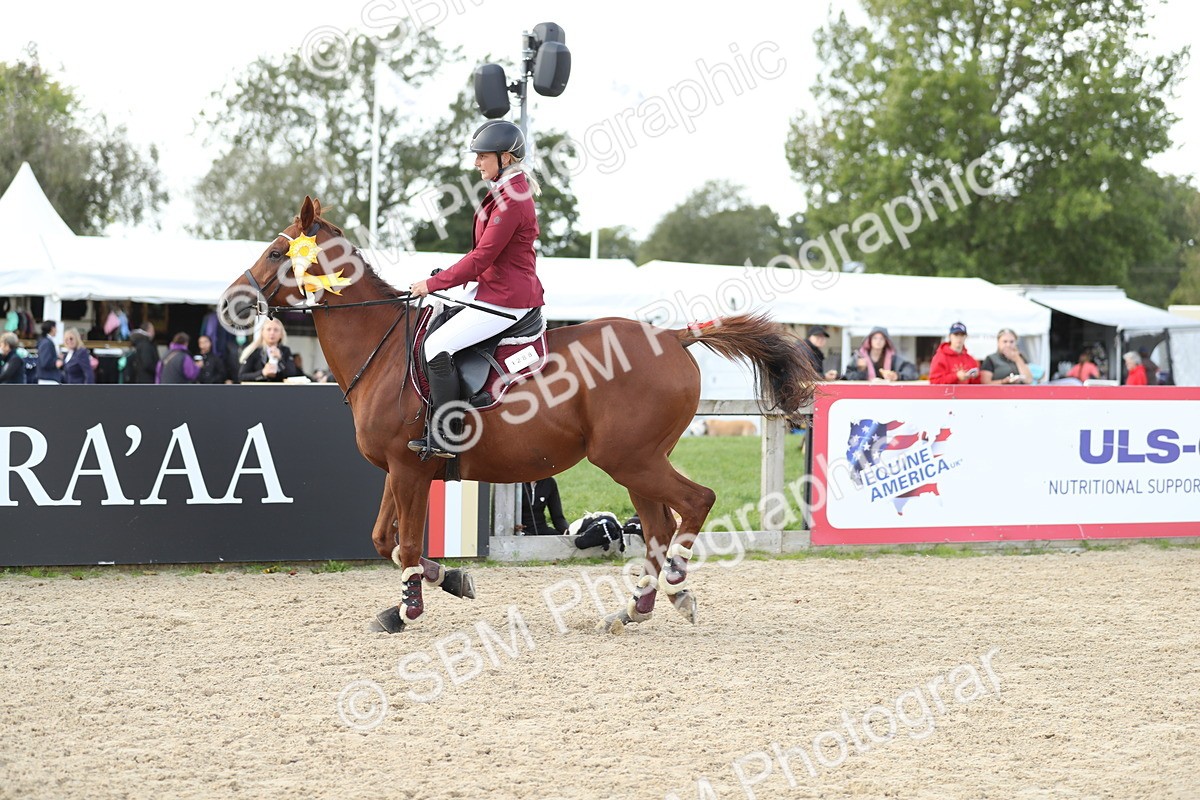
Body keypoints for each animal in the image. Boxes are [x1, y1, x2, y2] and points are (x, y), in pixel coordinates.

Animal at [221, 196, 819, 633]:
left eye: (275, 253)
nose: (230, 302)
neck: (383, 348)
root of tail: (672, 336)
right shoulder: (398, 469)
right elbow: (383, 541)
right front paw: (448, 578)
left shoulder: (410, 469)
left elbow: (406, 543)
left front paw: (408, 609)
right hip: (638, 462)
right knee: (658, 526)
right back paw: (638, 606)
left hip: (629, 458)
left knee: (695, 504)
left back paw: (673, 585)